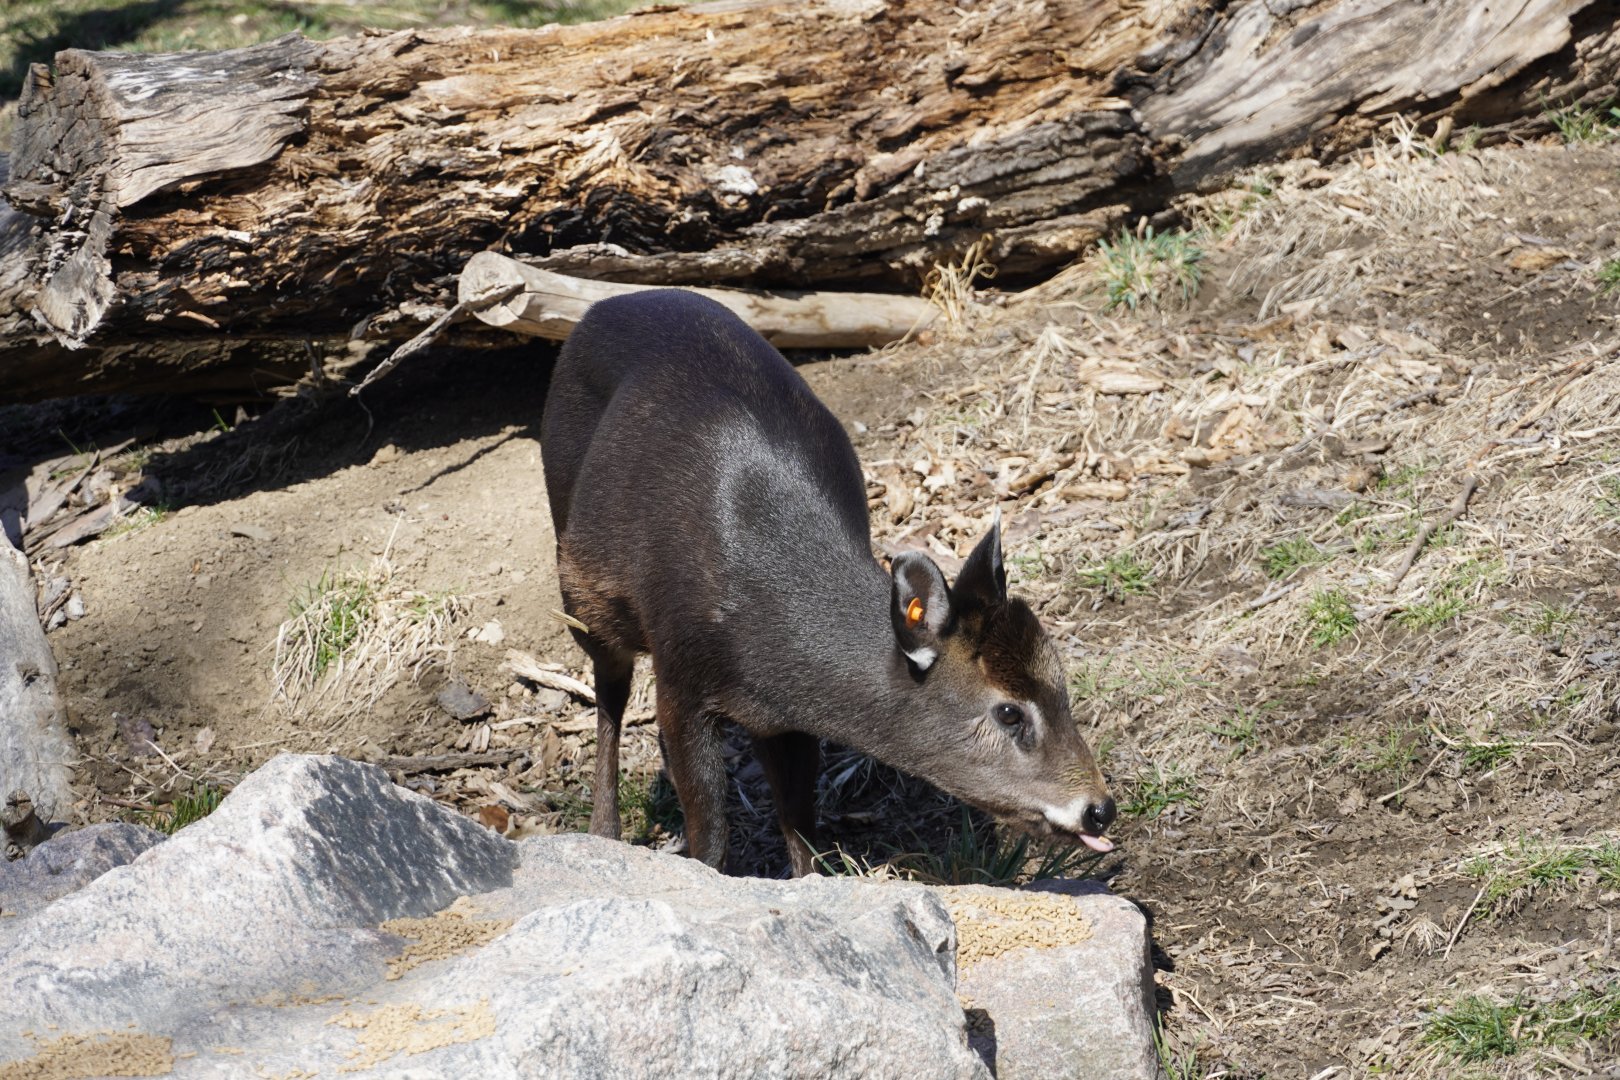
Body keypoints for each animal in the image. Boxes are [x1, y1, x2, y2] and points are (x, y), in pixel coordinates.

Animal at [539, 289, 1115, 876]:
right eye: (1008, 711)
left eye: (1062, 686)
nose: (1100, 808)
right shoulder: (681, 679)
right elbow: (711, 837)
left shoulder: (781, 718)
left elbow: (801, 825)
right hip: (578, 583)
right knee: (608, 692)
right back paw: (603, 831)